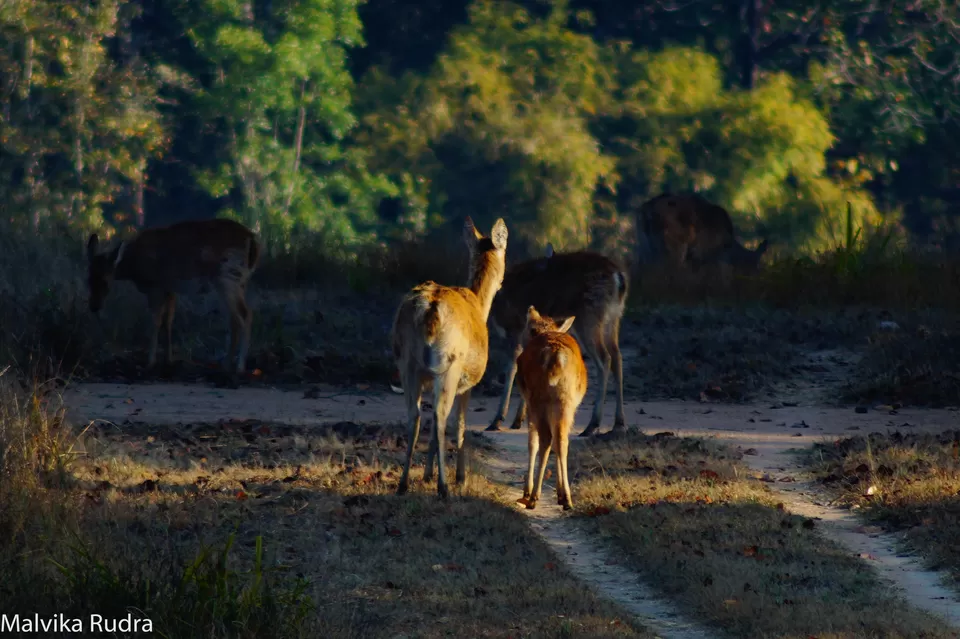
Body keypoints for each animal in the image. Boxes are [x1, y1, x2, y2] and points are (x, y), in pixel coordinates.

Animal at [84, 218, 258, 372]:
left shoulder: (156, 286)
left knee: (245, 315)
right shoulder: (170, 289)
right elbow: (167, 321)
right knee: (236, 317)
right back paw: (227, 364)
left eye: (105, 281)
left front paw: (150, 362)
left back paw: (238, 367)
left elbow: (155, 321)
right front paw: (168, 360)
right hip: (238, 282)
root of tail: (253, 241)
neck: (135, 266)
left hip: (228, 276)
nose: (94, 306)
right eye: (88, 278)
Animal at [390, 218, 510, 498]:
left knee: (414, 415)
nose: (503, 280)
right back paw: (444, 488)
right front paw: (460, 478)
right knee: (441, 415)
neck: (479, 304)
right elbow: (462, 423)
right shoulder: (469, 382)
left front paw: (427, 474)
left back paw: (403, 484)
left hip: (407, 363)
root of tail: (429, 311)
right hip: (450, 364)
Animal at [484, 246, 628, 440]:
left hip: (589, 317)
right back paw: (618, 423)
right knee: (617, 356)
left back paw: (592, 425)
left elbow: (513, 367)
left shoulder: (515, 330)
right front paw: (518, 419)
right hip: (613, 319)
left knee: (605, 358)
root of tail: (618, 278)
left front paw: (498, 420)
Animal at [516, 308, 584, 512]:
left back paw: (533, 498)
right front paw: (560, 494)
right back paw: (567, 499)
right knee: (561, 441)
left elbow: (532, 443)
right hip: (566, 400)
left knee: (544, 440)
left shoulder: (528, 403)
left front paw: (526, 490)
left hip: (539, 399)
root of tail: (556, 357)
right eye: (531, 329)